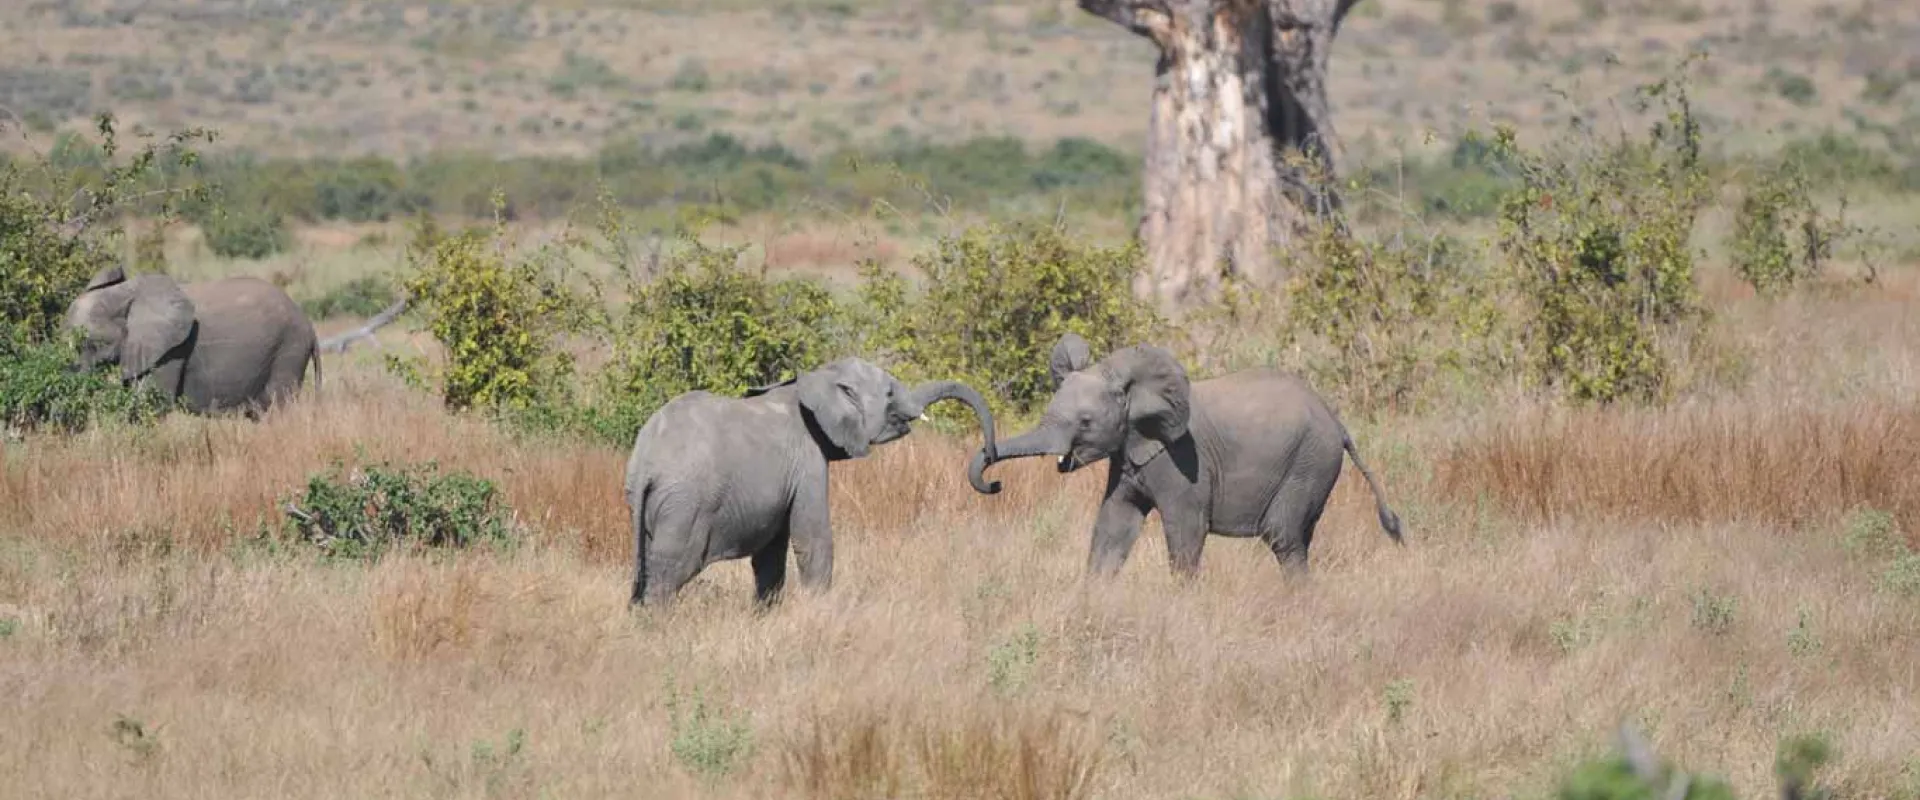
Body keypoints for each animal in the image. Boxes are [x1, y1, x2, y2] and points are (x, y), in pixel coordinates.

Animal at [65, 266, 322, 417]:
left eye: (89, 344)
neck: (124, 292)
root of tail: (309, 324)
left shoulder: (171, 350)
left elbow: (152, 402)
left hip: (288, 349)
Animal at [624, 357, 998, 607]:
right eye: (890, 393)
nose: (993, 477)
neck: (818, 378)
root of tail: (647, 461)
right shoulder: (807, 461)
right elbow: (812, 540)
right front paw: (820, 611)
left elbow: (770, 555)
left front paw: (766, 615)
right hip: (686, 506)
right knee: (671, 570)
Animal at [968, 334, 1402, 577]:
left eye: (1086, 422)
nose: (995, 481)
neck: (1136, 394)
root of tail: (1338, 424)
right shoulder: (1128, 456)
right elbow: (1113, 527)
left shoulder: (1183, 462)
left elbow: (1185, 532)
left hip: (1309, 462)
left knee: (1283, 537)